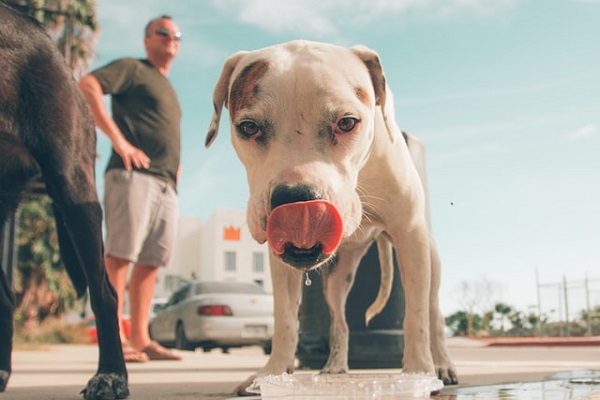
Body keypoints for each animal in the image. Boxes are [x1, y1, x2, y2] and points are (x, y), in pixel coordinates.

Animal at [204, 40, 458, 394]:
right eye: (248, 127)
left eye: (347, 122)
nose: (296, 199)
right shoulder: (280, 263)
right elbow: (285, 320)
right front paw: (273, 373)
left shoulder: (410, 236)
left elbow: (416, 318)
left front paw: (418, 373)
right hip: (338, 278)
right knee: (339, 321)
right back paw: (335, 366)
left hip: (429, 260)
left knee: (433, 314)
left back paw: (443, 365)